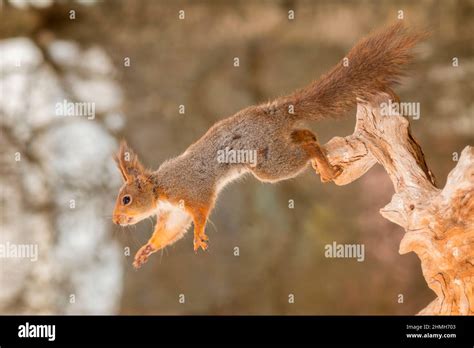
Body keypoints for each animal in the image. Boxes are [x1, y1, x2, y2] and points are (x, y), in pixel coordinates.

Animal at [112, 23, 426, 268]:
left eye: (126, 199)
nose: (115, 221)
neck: (159, 187)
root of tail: (273, 112)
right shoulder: (172, 214)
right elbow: (168, 232)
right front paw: (146, 250)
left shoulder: (190, 190)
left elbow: (200, 213)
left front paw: (199, 235)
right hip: (277, 147)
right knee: (306, 135)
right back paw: (319, 158)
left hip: (268, 163)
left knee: (307, 147)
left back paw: (322, 162)